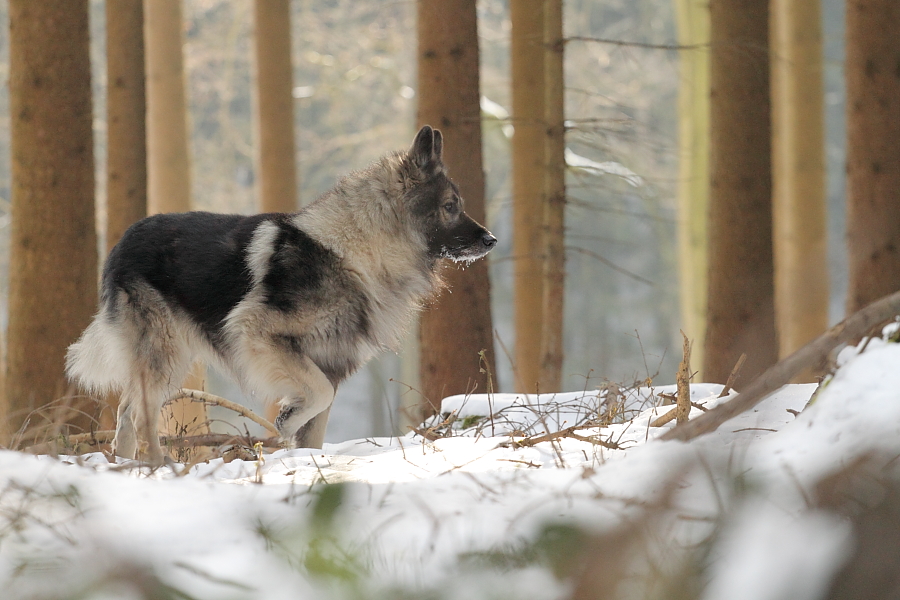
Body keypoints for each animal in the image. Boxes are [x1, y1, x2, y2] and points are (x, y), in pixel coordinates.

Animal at [66, 125, 496, 460]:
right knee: (140, 416)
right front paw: (286, 420)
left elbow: (317, 424)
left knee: (125, 413)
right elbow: (317, 396)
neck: (358, 251)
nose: (491, 240)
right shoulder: (258, 335)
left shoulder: (330, 362)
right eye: (450, 206)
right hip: (165, 355)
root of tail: (124, 241)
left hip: (169, 358)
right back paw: (158, 466)